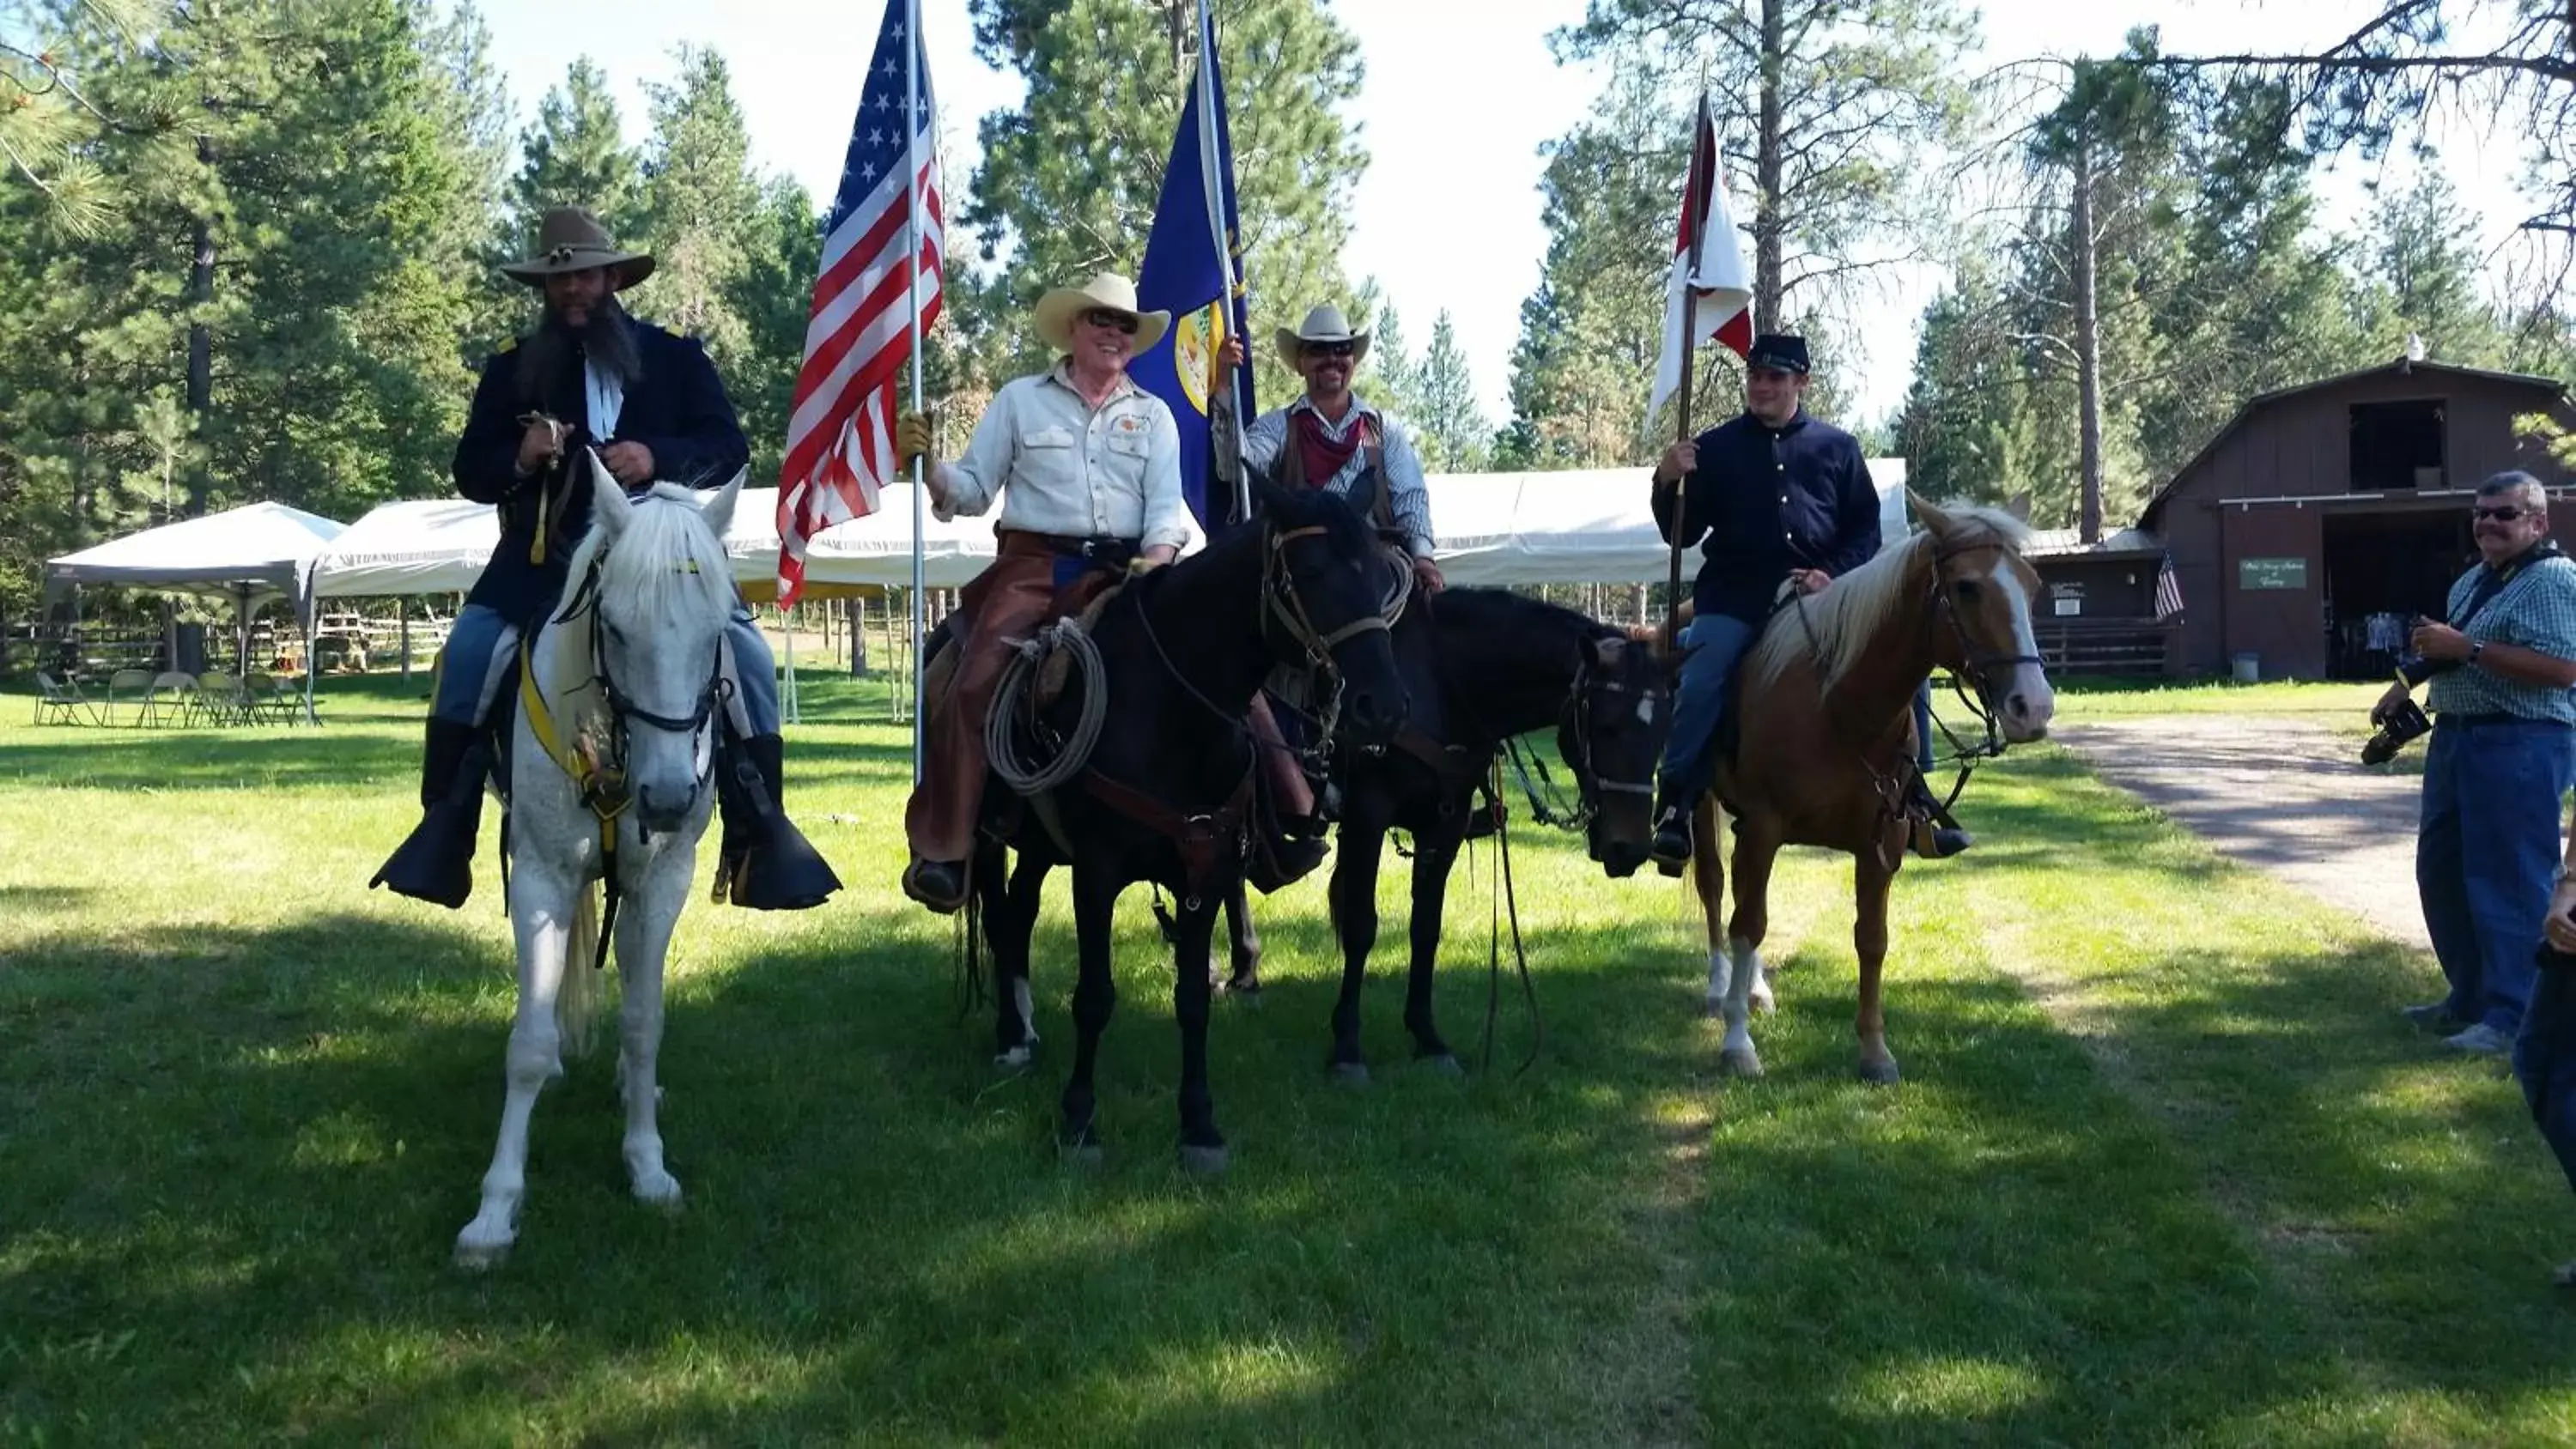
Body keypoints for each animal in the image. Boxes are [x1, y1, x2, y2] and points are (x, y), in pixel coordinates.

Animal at [448, 458, 737, 1266]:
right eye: (613, 625)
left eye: (716, 631)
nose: (666, 798)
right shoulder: (542, 877)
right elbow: (527, 1042)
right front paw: (494, 1210)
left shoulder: (660, 884)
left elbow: (644, 1023)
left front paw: (647, 1165)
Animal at [969, 481, 1412, 1173]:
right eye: (1311, 572)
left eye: (1379, 570)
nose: (1383, 706)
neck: (1168, 710)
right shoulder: (1096, 872)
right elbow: (1094, 997)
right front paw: (1079, 1121)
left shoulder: (1204, 867)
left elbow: (1193, 1002)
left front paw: (1199, 1125)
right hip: (990, 838)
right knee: (995, 912)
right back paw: (1010, 1039)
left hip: (1041, 847)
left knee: (1018, 912)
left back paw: (1025, 1027)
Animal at [1690, 494, 2050, 1081]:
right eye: (1967, 587)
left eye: (2033, 585)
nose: (2034, 707)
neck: (1840, 705)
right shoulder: (1765, 826)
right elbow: (1750, 923)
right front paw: (1738, 1043)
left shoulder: (1882, 840)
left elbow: (1871, 939)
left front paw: (1875, 1052)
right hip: (1703, 807)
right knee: (1717, 888)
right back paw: (1723, 989)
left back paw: (1757, 989)